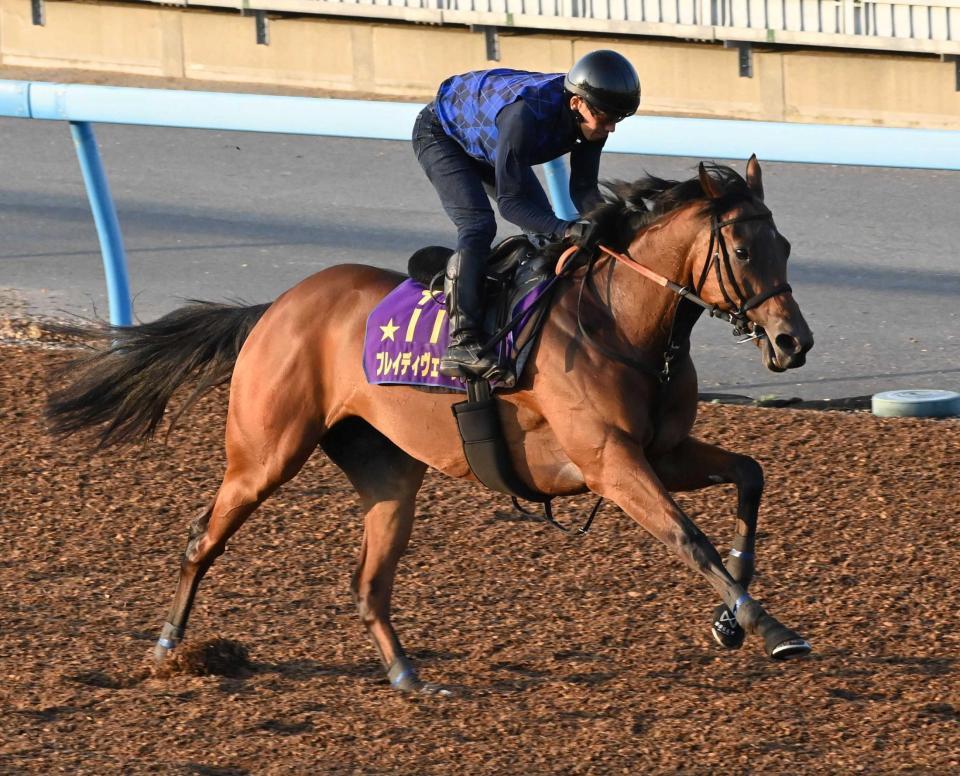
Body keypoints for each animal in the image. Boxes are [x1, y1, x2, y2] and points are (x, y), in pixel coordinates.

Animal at [47, 155, 814, 694]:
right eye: (743, 251)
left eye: (786, 245)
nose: (792, 342)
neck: (618, 321)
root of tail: (275, 307)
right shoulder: (610, 461)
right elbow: (689, 539)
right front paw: (768, 628)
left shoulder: (665, 449)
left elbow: (750, 477)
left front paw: (729, 620)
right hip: (264, 454)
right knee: (202, 539)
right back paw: (168, 648)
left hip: (388, 473)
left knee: (368, 583)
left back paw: (408, 677)